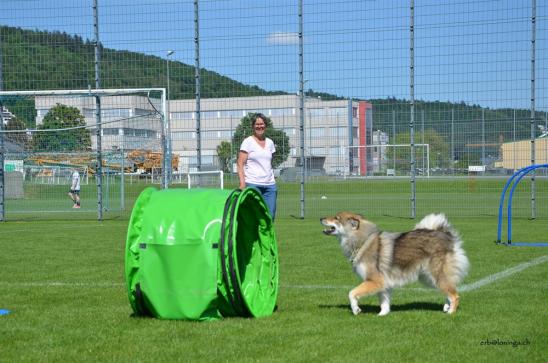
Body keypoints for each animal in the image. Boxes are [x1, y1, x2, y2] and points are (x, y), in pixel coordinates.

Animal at [322, 213, 470, 316]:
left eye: (336, 218)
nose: (321, 218)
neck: (362, 241)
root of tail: (447, 236)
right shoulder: (383, 283)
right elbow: (384, 302)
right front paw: (382, 315)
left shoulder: (374, 280)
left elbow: (351, 293)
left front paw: (356, 309)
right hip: (428, 278)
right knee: (450, 291)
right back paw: (446, 307)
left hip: (435, 275)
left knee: (455, 295)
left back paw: (450, 312)